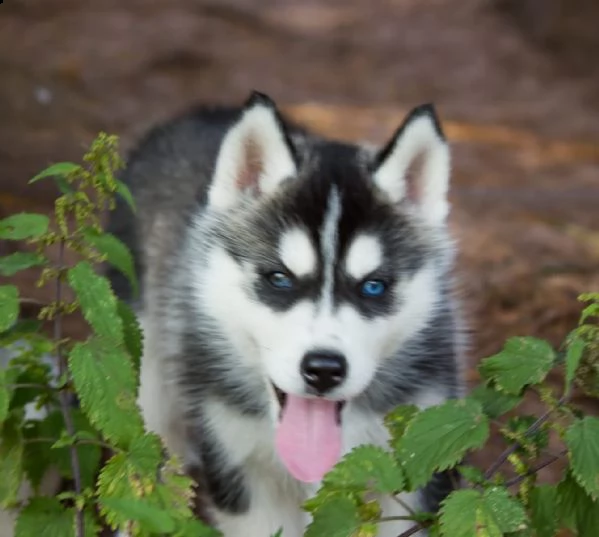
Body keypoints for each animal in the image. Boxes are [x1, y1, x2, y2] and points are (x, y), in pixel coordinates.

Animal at [106, 92, 464, 536]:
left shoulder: (414, 458)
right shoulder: (241, 474)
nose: (324, 369)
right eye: (279, 278)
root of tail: (201, 113)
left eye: (373, 286)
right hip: (147, 388)